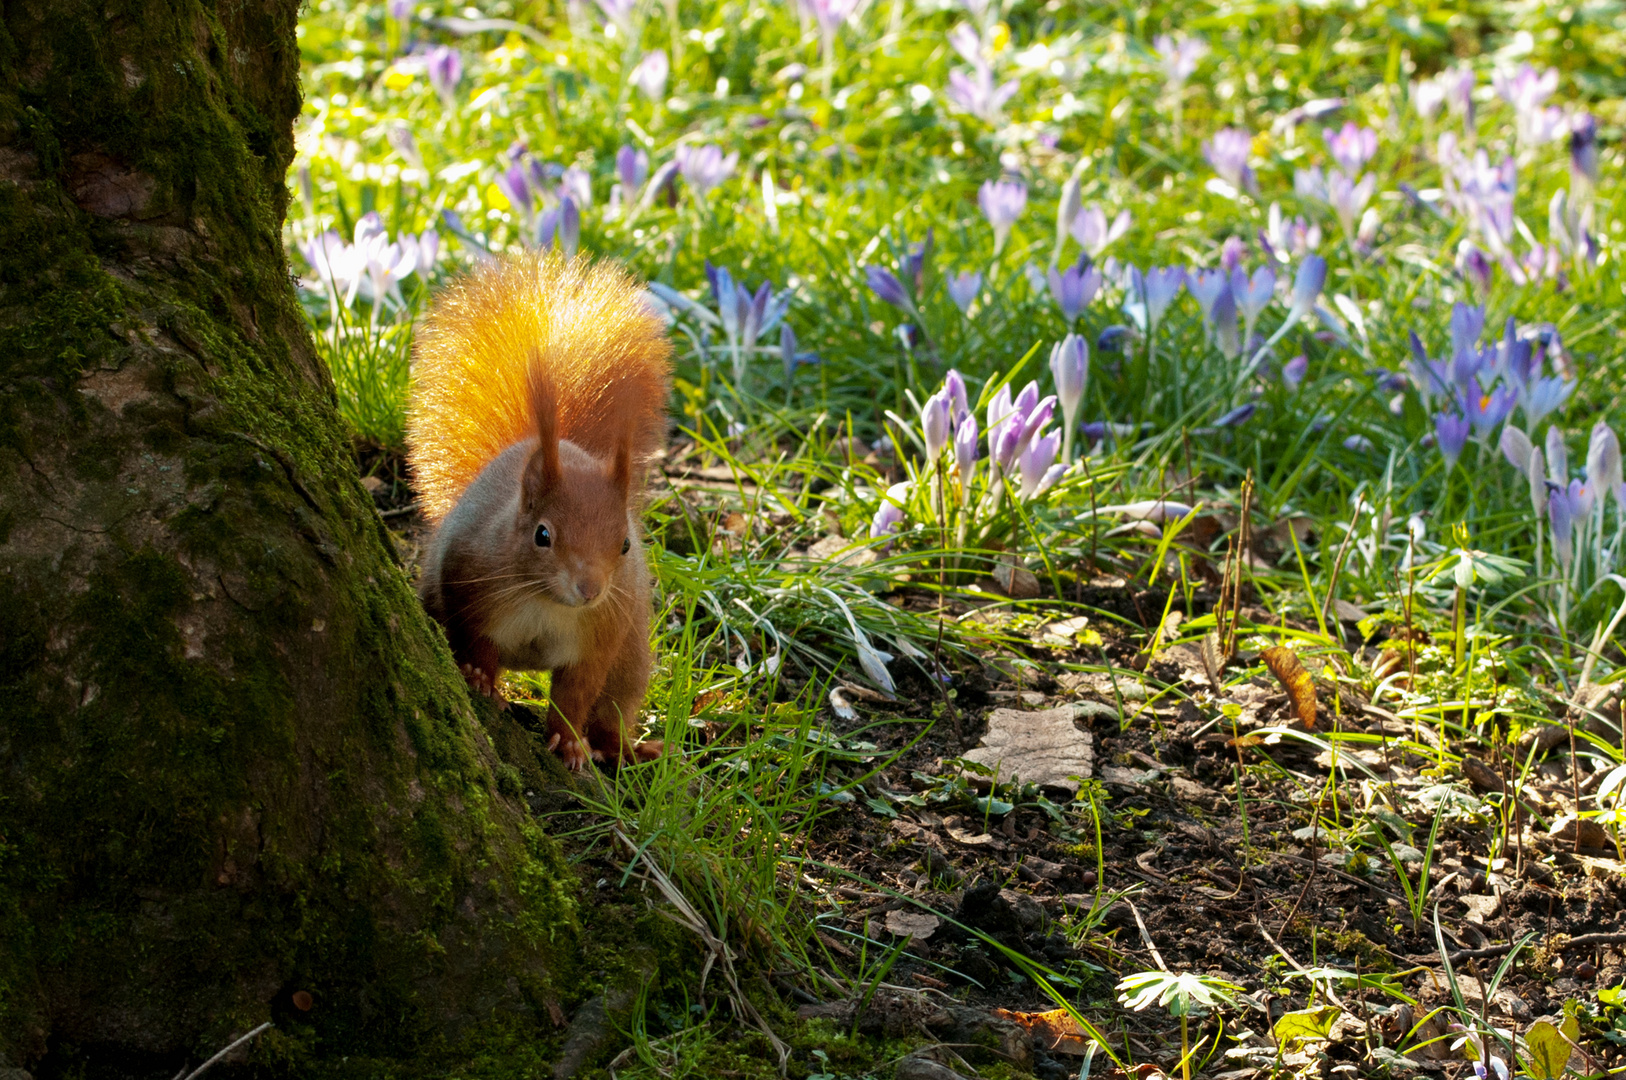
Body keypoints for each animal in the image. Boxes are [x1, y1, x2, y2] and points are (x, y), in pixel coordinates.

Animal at [406, 253, 673, 767]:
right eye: (542, 535)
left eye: (625, 545)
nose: (589, 589)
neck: (548, 603)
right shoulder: (472, 586)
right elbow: (477, 642)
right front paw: (480, 678)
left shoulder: (598, 637)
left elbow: (576, 694)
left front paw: (567, 742)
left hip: (631, 653)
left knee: (613, 707)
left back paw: (624, 750)